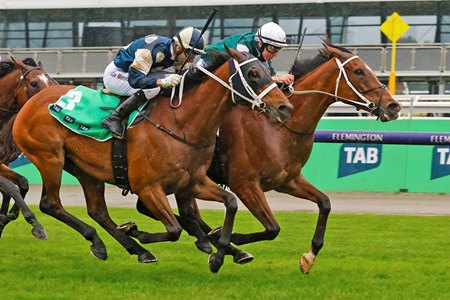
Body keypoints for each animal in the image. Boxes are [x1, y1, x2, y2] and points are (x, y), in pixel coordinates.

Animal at [0, 56, 57, 239]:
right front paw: (37, 225)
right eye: (33, 83)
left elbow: (23, 183)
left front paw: (6, 218)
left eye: (51, 81)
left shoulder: (3, 162)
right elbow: (10, 188)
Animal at [8, 48, 294, 274]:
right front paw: (139, 232)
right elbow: (174, 229)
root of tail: (32, 102)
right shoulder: (148, 188)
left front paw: (219, 254)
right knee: (50, 204)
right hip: (49, 158)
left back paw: (125, 248)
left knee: (98, 211)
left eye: (266, 71)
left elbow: (230, 203)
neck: (181, 123)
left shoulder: (193, 182)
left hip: (84, 169)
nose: (285, 108)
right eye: (254, 74)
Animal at [125, 41, 400, 274]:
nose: (394, 106)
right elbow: (272, 228)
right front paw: (230, 240)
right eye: (359, 71)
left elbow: (325, 203)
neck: (279, 129)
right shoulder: (245, 184)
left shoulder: (288, 180)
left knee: (163, 209)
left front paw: (308, 257)